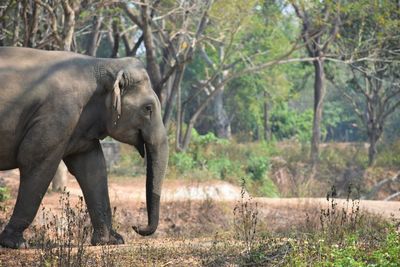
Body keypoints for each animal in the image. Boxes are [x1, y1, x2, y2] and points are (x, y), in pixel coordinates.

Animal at [0, 46, 167, 249]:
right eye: (148, 108)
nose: (137, 227)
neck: (102, 64)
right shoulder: (58, 113)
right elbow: (35, 160)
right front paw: (15, 243)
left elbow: (93, 169)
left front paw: (111, 240)